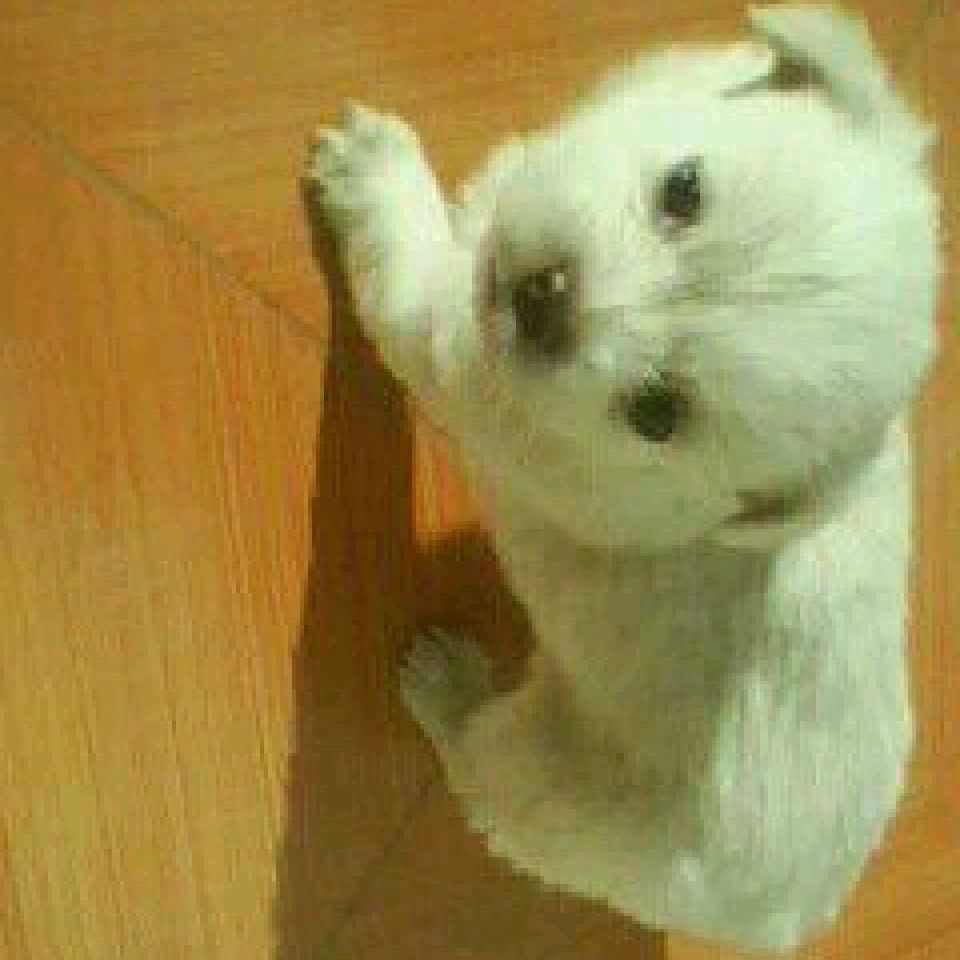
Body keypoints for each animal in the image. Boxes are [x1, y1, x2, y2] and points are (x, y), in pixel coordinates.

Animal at [304, 5, 940, 951]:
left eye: (658, 412)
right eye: (684, 191)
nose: (545, 300)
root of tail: (789, 916)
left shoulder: (457, 354)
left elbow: (410, 273)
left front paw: (371, 168)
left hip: (541, 785)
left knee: (480, 763)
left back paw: (447, 683)